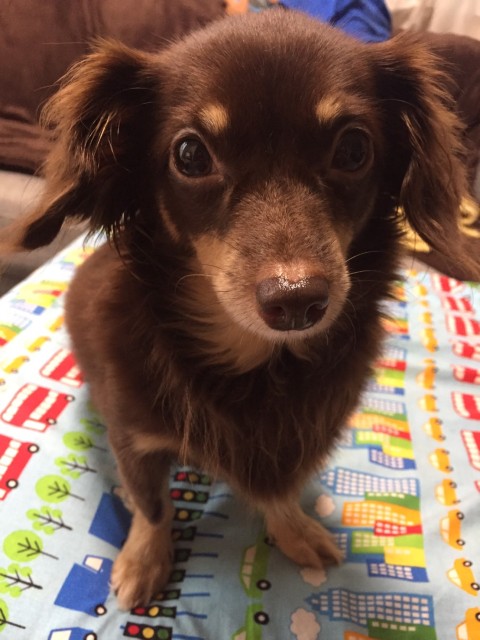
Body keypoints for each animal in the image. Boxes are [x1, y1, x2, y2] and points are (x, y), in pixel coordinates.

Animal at [2, 9, 477, 610]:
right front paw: (144, 559)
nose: (297, 301)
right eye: (190, 154)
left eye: (353, 150)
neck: (255, 364)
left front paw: (293, 528)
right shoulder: (134, 438)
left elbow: (282, 492)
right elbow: (153, 505)